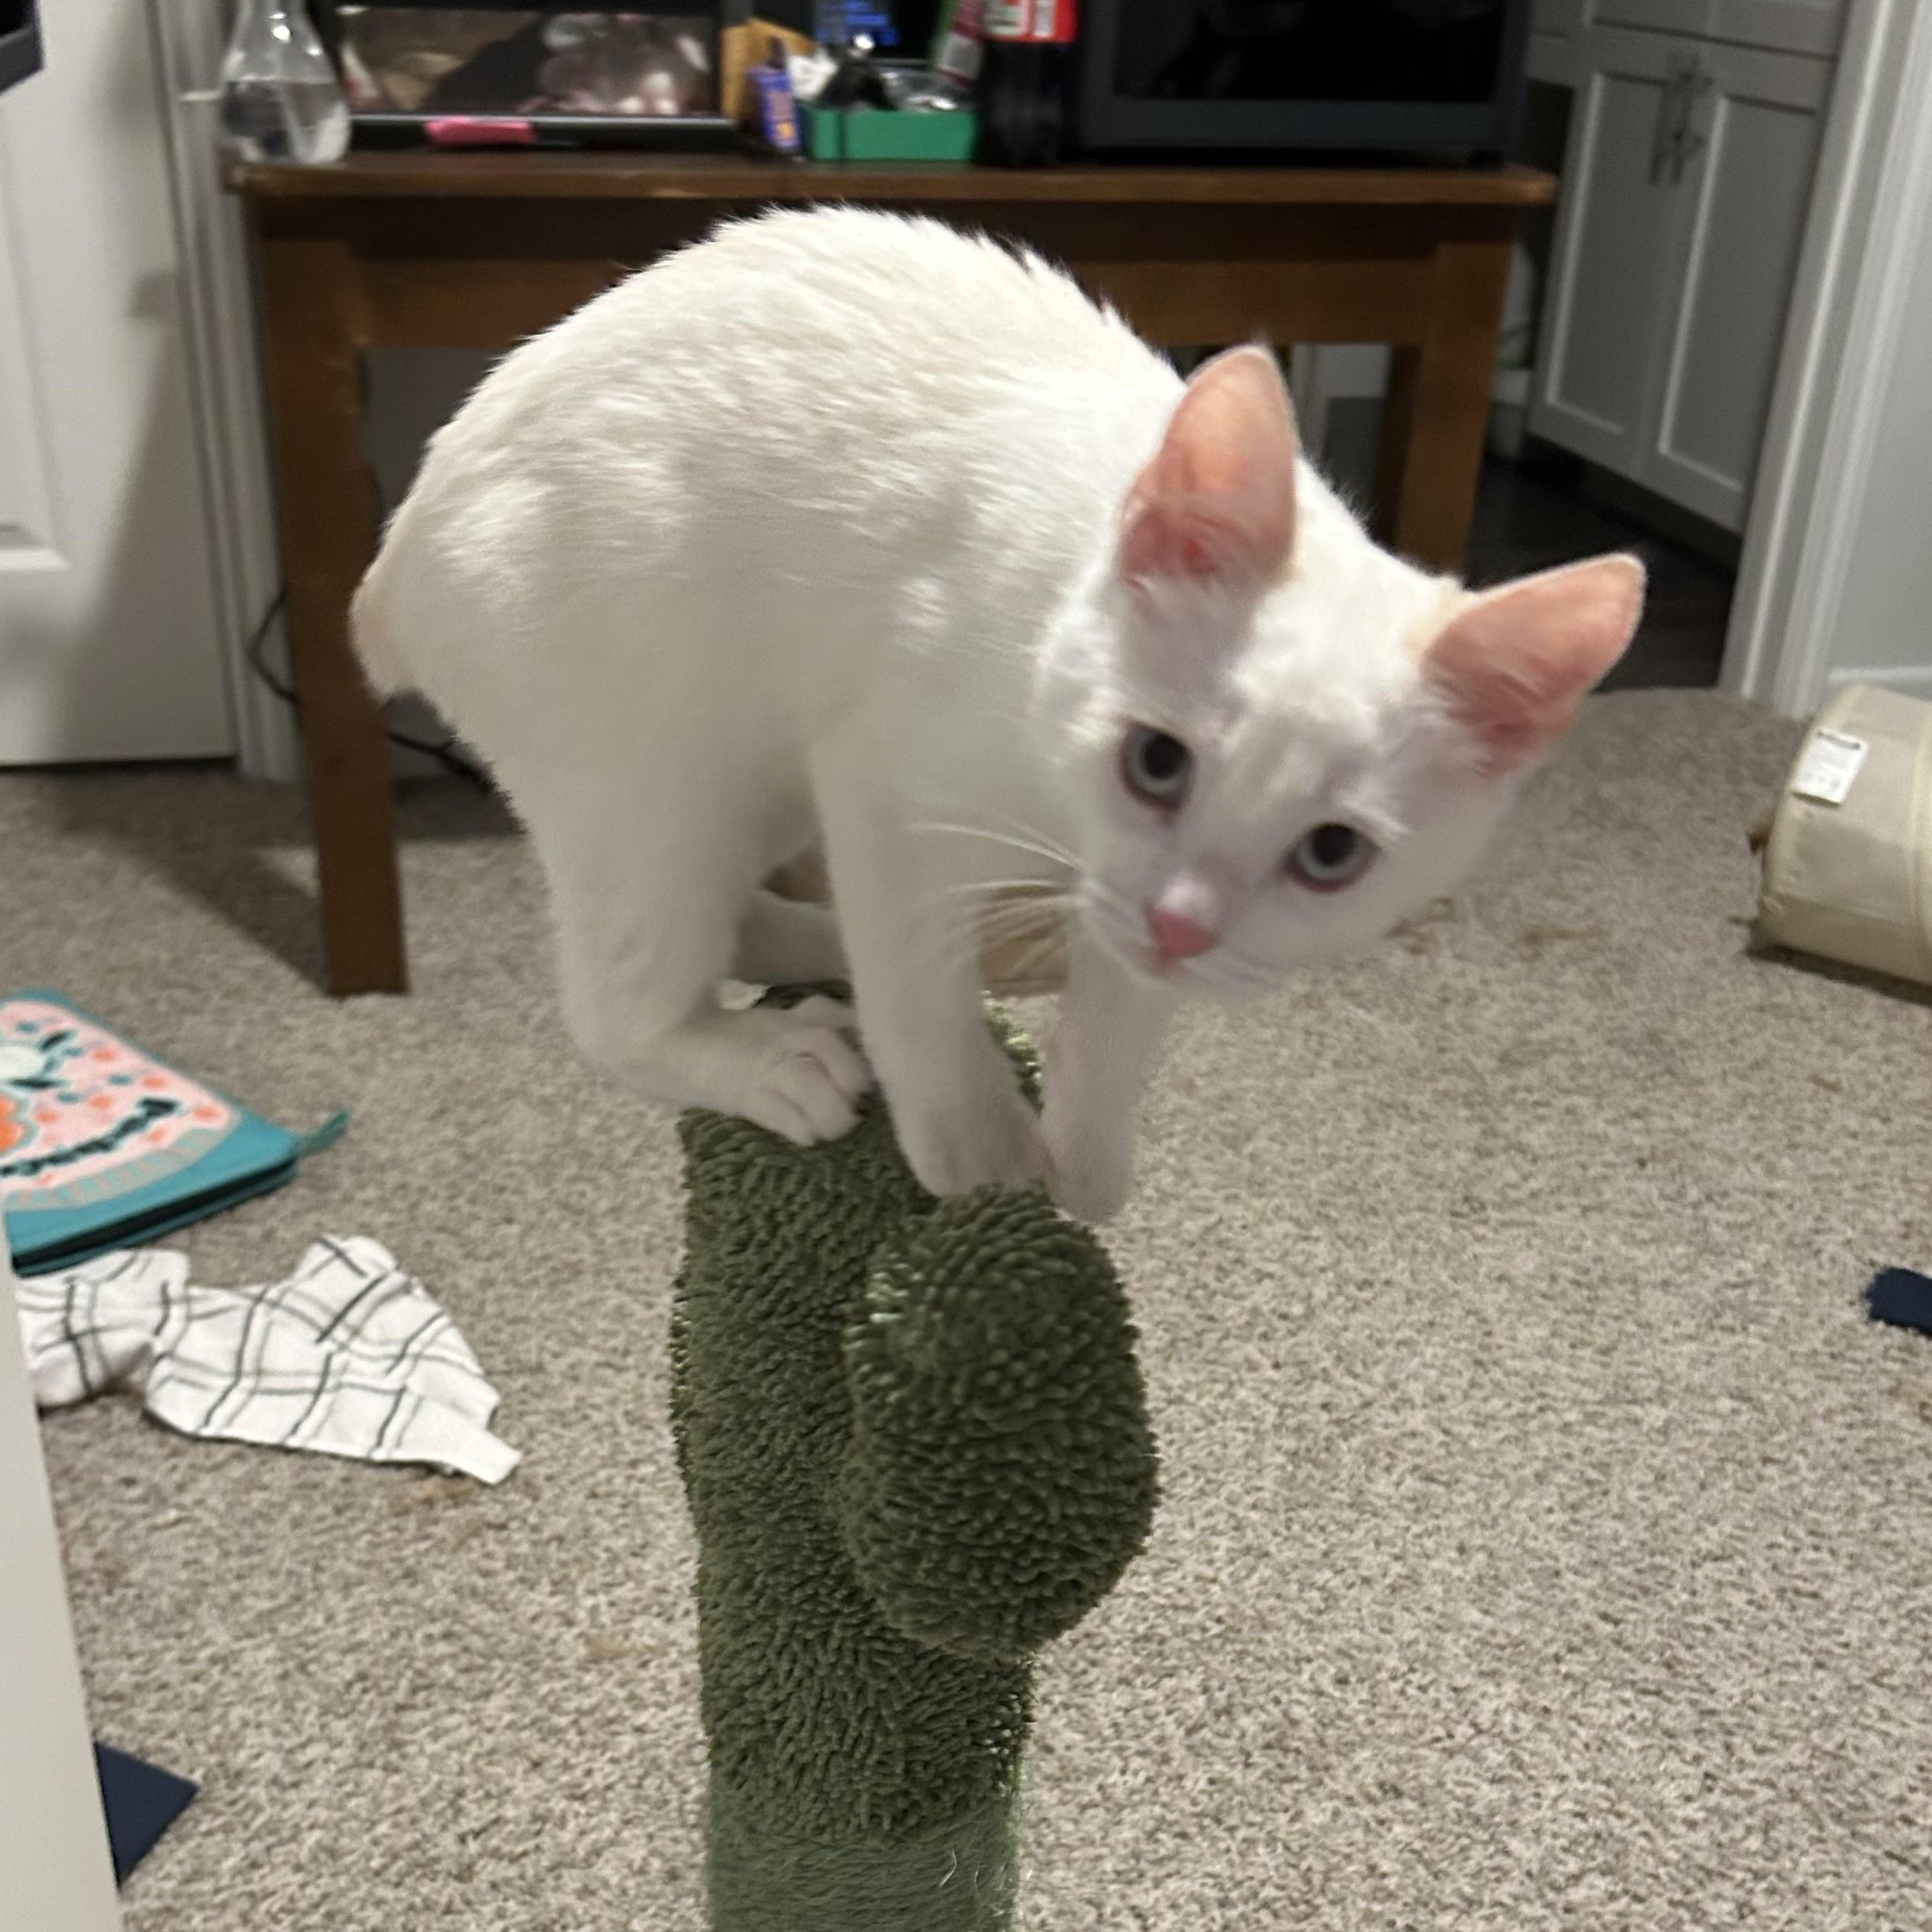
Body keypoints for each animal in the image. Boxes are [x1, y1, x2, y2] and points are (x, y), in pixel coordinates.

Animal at [353, 207, 1642, 1223]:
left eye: (1332, 854)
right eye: (1157, 761)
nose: (1181, 927)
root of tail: (399, 549)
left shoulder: (1108, 900)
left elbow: (1113, 1025)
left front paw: (1085, 1162)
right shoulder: (877, 781)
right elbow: (917, 1003)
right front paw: (975, 1158)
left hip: (747, 785)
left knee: (744, 921)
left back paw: (823, 947)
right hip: (664, 770)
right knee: (618, 1006)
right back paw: (771, 1056)